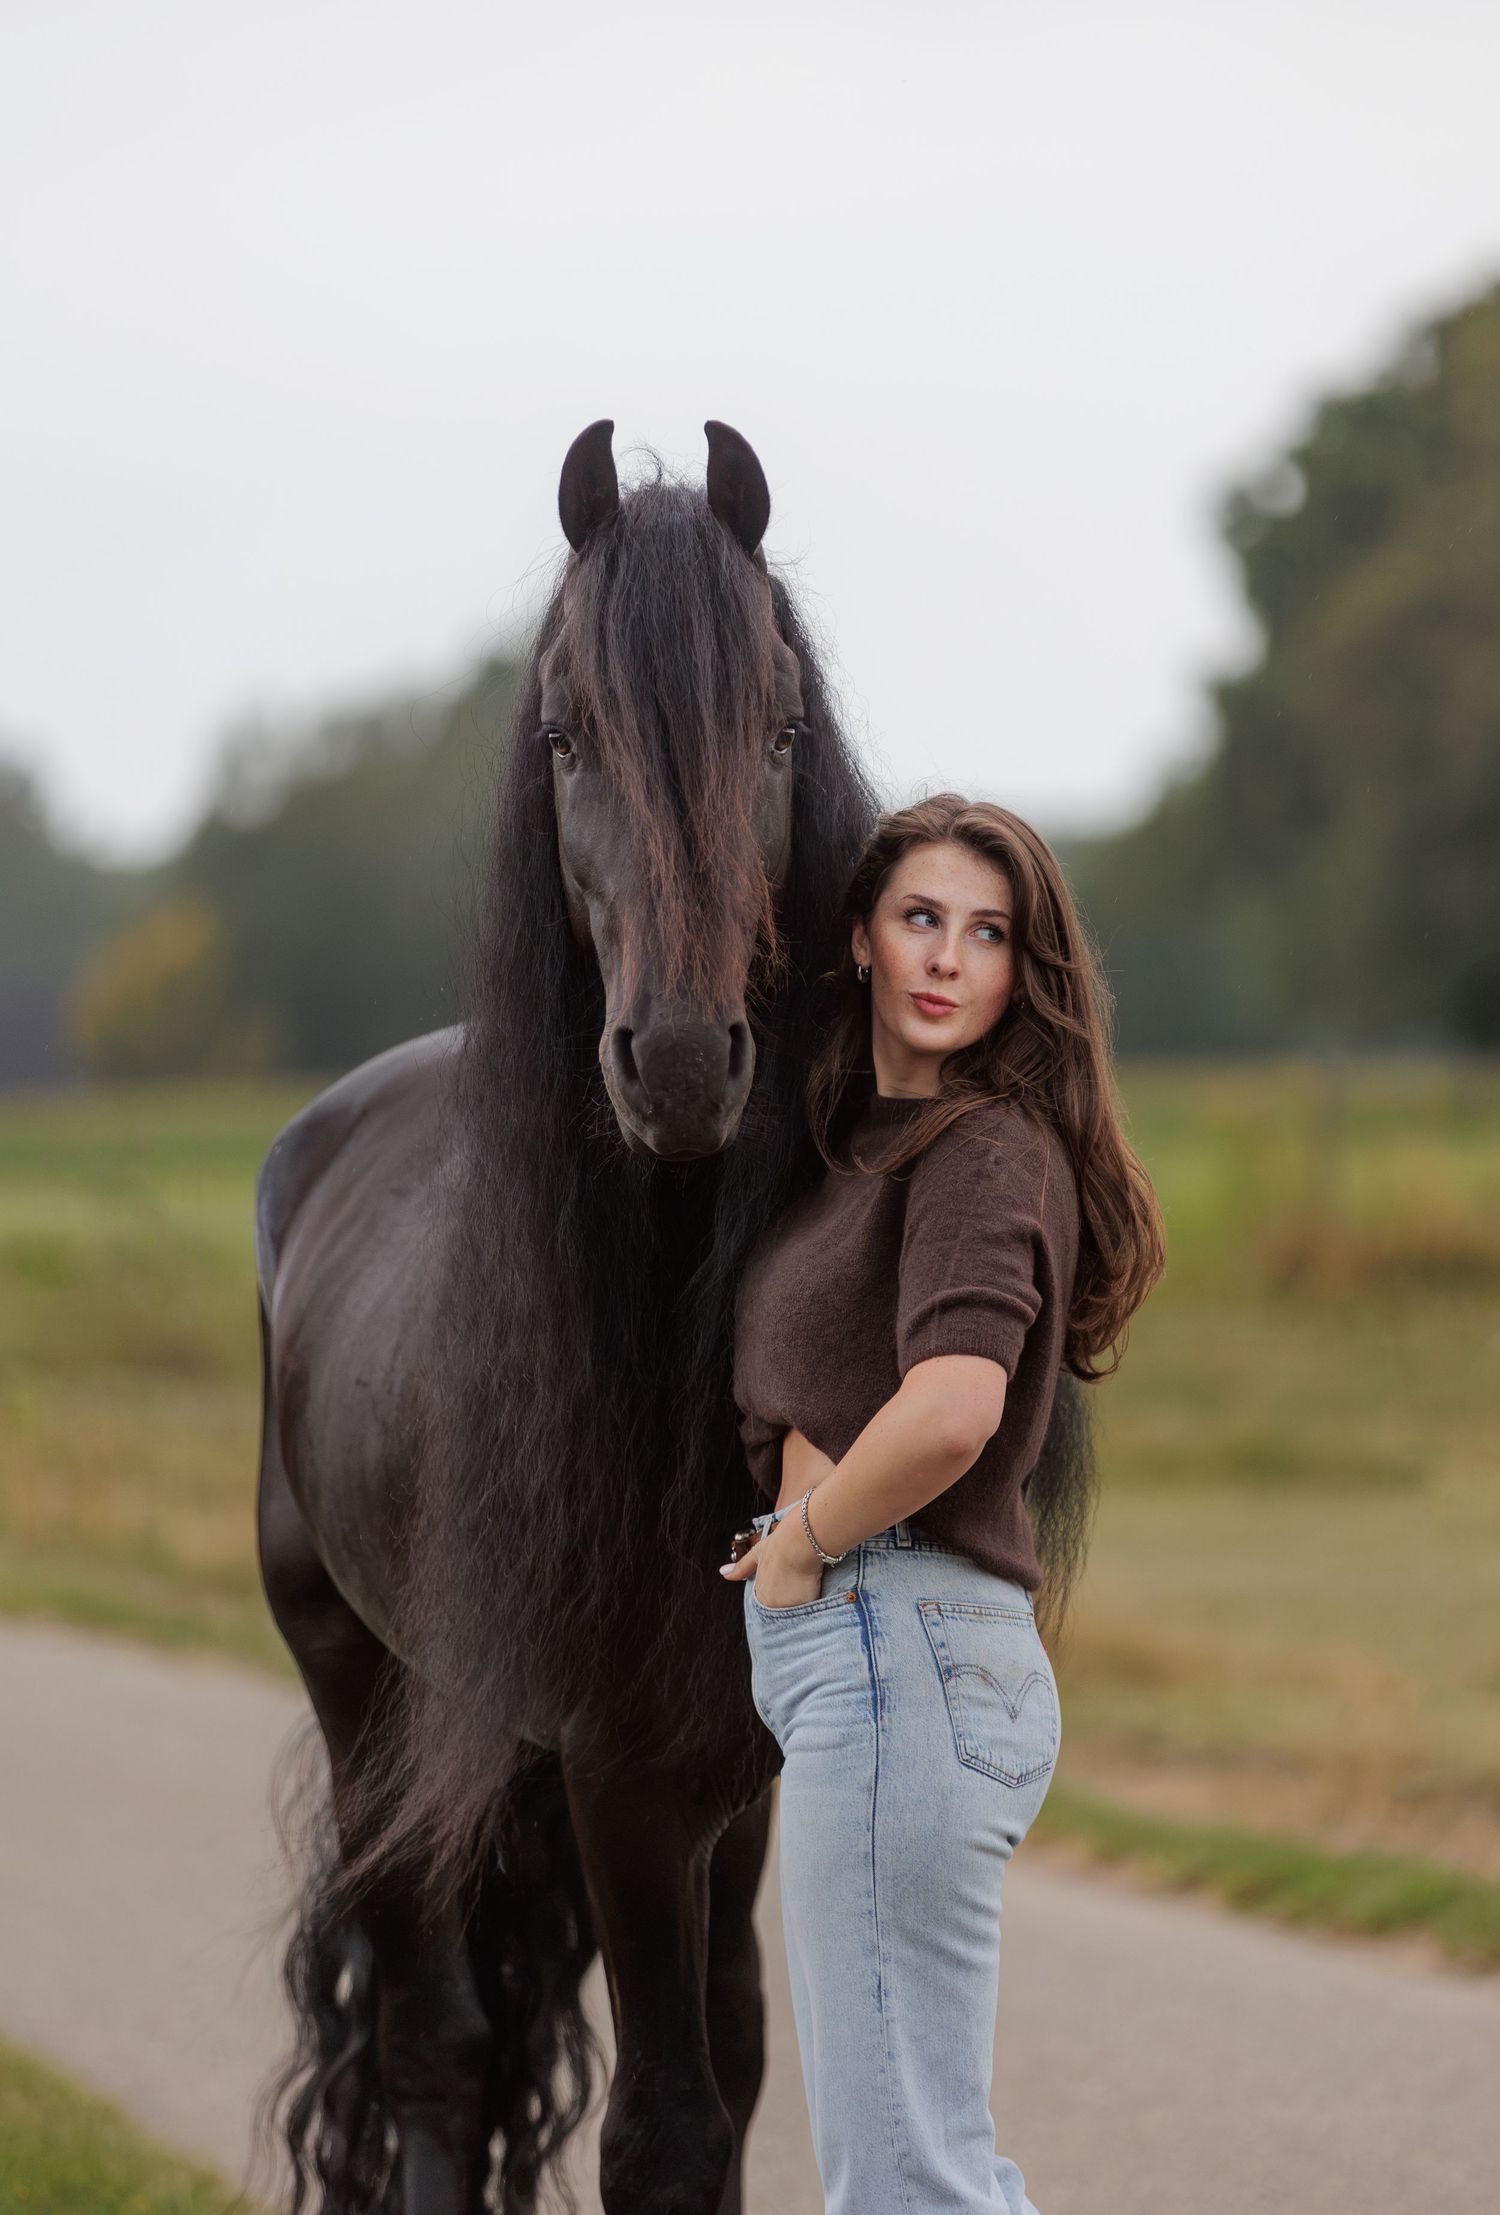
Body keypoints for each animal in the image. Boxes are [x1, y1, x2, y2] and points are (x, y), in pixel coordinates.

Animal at [253, 419, 1094, 2214]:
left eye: (776, 728)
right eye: (567, 734)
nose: (688, 1061)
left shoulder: (745, 1779)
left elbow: (735, 2096)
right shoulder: (624, 1777)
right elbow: (661, 2127)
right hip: (368, 1694)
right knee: (432, 2044)